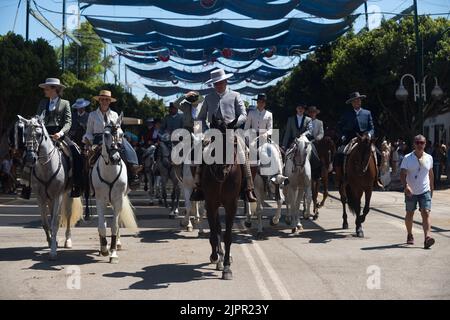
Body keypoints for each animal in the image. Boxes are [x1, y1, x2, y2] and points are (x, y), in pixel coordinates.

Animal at [17, 115, 82, 260]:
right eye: (25, 133)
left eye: (39, 134)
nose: (30, 158)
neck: (47, 166)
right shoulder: (40, 198)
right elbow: (45, 223)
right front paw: (51, 241)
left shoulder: (58, 196)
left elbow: (55, 222)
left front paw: (53, 251)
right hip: (49, 199)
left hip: (67, 195)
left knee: (68, 216)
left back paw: (67, 240)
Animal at [92, 114, 139, 264]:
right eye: (105, 134)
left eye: (122, 134)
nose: (115, 158)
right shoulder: (100, 200)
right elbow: (102, 225)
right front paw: (104, 249)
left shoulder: (118, 200)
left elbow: (114, 225)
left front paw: (113, 253)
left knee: (117, 221)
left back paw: (117, 243)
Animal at [201, 117, 243, 280]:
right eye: (214, 139)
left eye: (233, 142)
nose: (221, 171)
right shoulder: (210, 204)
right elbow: (214, 232)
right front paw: (215, 256)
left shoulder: (232, 205)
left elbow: (228, 236)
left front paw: (227, 267)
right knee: (216, 228)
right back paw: (217, 256)